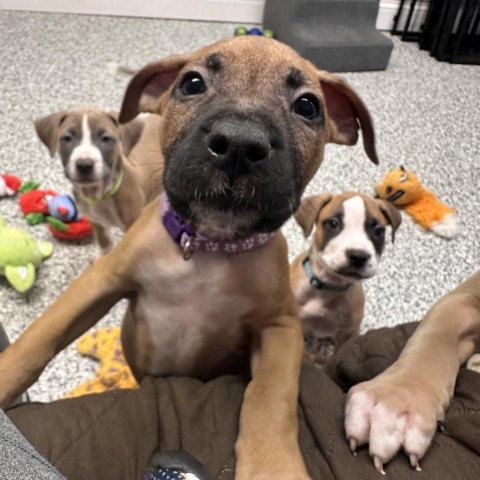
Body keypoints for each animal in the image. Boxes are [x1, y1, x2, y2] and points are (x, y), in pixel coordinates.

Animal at [35, 107, 145, 253]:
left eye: (105, 138)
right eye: (67, 138)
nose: (84, 165)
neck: (98, 195)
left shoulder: (134, 226)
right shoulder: (97, 223)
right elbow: (105, 245)